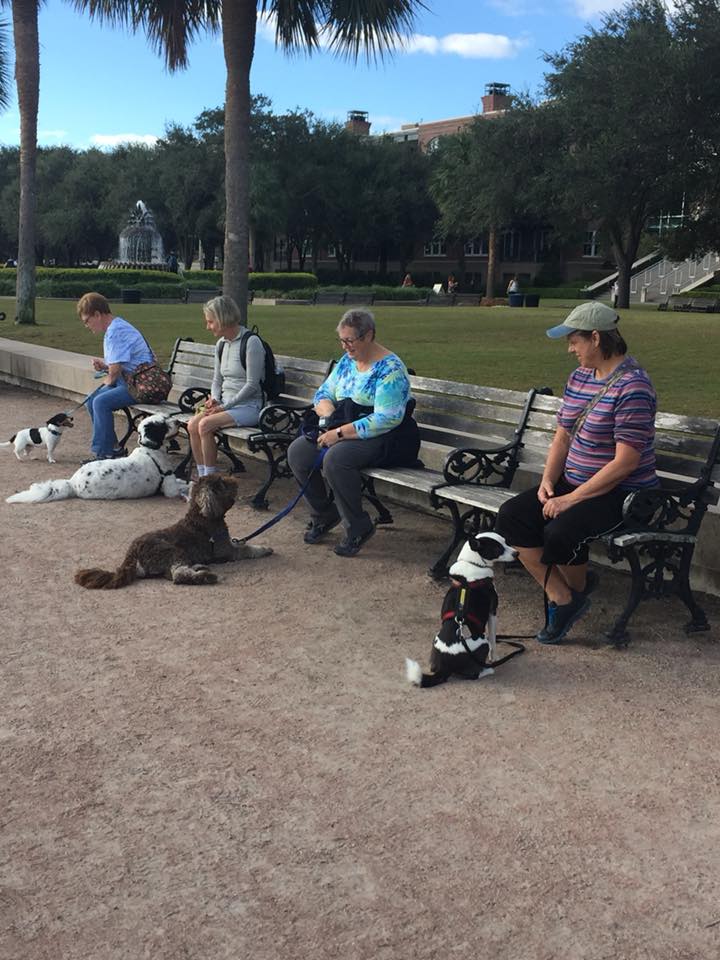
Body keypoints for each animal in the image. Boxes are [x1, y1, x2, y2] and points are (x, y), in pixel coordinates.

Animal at [75, 474, 272, 588]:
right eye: (222, 483)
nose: (235, 481)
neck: (201, 516)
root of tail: (131, 556)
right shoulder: (226, 551)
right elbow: (246, 549)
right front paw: (264, 548)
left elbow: (240, 543)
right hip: (172, 551)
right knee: (178, 575)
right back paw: (205, 577)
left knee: (172, 573)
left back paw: (199, 567)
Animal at [404, 528, 524, 688]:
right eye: (497, 548)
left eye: (505, 541)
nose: (517, 553)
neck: (473, 563)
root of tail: (445, 665)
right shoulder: (493, 613)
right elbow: (493, 639)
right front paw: (494, 658)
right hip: (482, 643)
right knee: (474, 674)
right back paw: (488, 670)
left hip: (435, 641)